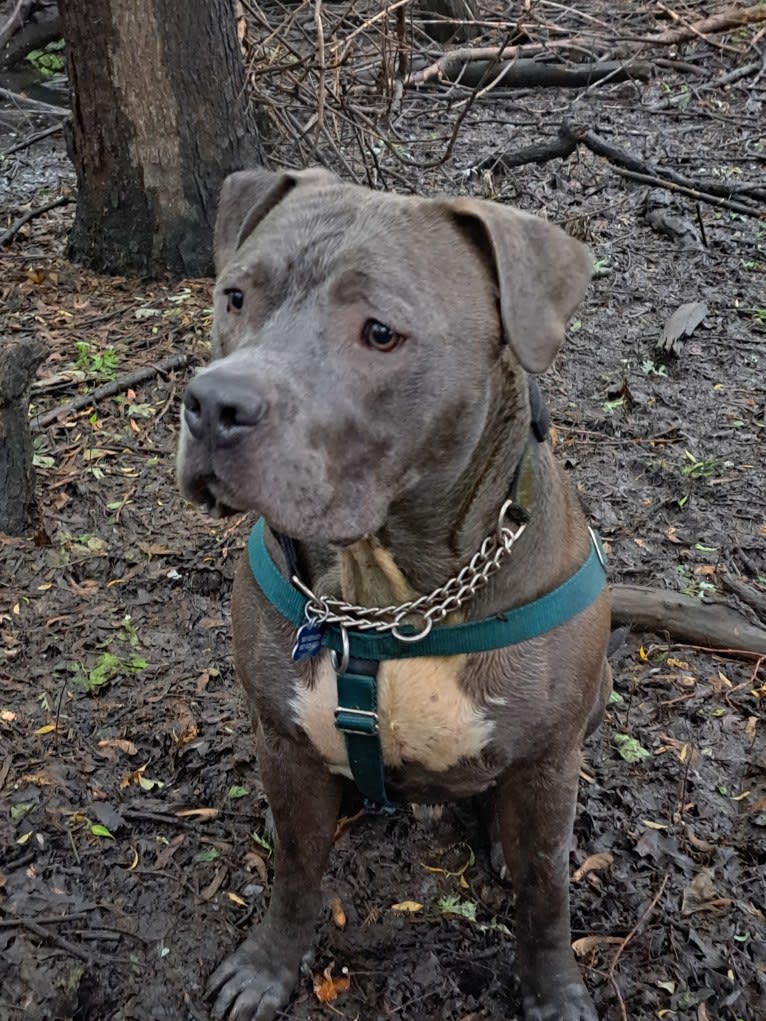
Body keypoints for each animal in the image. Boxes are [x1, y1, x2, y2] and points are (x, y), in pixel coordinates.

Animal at [178, 169, 612, 1021]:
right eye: (236, 296)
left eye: (380, 332)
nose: (213, 404)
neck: (391, 596)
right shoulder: (284, 747)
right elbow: (295, 872)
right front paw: (267, 968)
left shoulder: (549, 762)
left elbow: (547, 893)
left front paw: (554, 992)